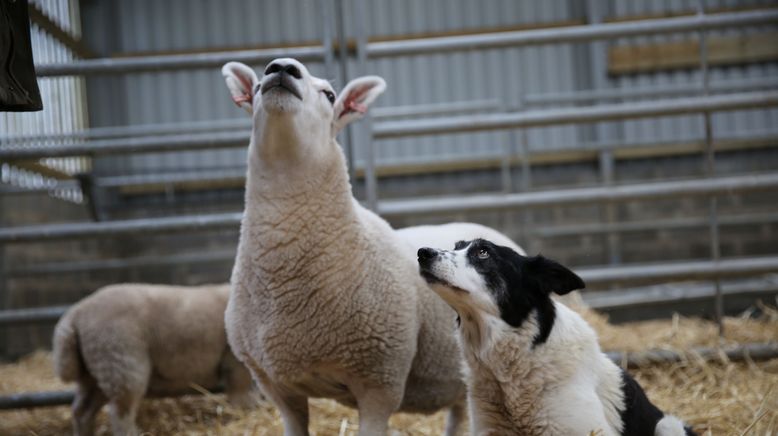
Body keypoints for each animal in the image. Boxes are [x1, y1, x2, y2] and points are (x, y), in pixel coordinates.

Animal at [52, 282, 258, 436]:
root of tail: (75, 315)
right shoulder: (236, 363)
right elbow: (240, 394)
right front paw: (244, 414)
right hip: (121, 363)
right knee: (120, 412)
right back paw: (131, 432)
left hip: (95, 372)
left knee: (82, 411)